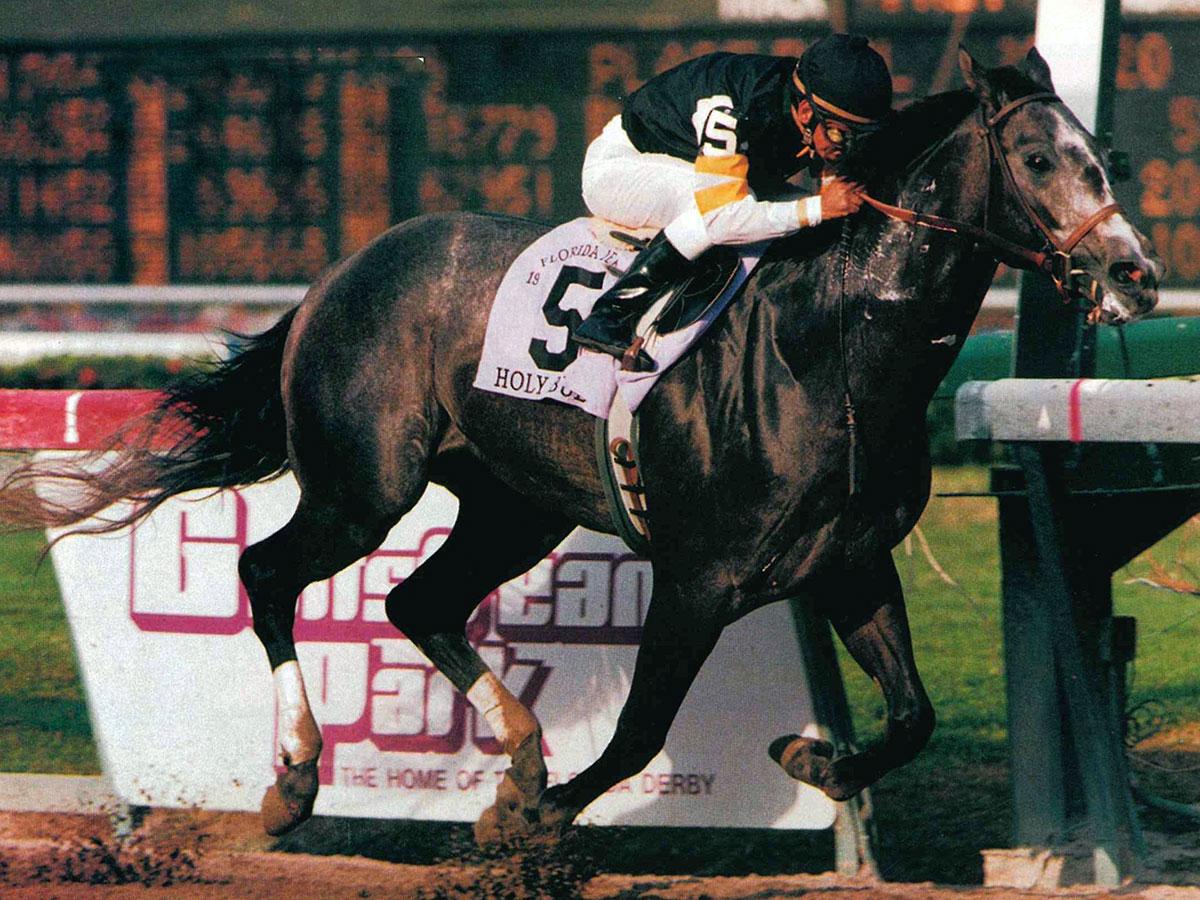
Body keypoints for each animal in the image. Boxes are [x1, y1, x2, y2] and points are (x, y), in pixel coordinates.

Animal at [1, 48, 1160, 843]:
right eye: (1036, 156)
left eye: (1104, 156)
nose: (1136, 272)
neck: (828, 348)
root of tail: (341, 271)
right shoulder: (700, 577)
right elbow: (642, 729)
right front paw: (536, 820)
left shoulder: (850, 562)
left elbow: (912, 716)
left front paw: (810, 757)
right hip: (363, 484)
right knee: (268, 572)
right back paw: (295, 779)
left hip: (512, 502)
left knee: (417, 600)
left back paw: (513, 752)